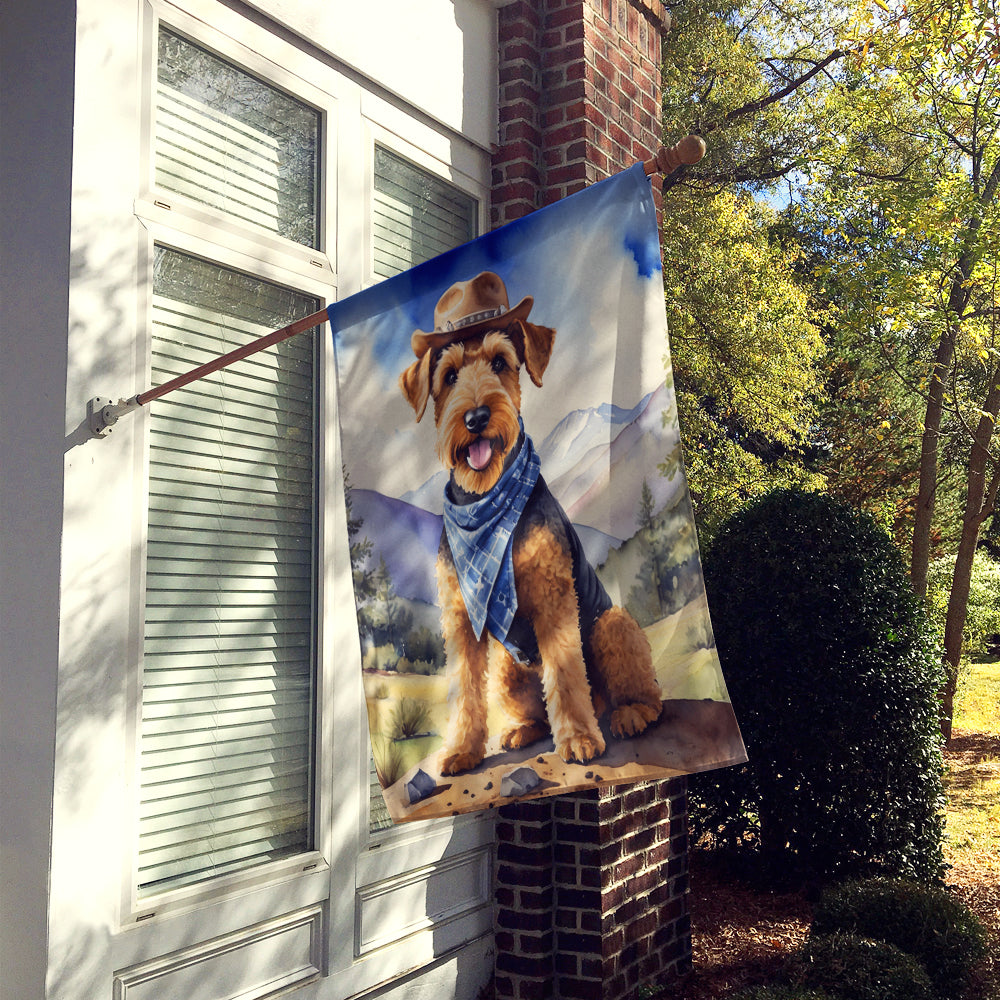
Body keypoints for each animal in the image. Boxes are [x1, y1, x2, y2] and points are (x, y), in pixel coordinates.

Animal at [398, 272, 664, 772]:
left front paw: (578, 738)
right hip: (508, 665)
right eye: (449, 376)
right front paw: (461, 750)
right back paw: (522, 730)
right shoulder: (460, 619)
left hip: (611, 623)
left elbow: (565, 670)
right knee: (537, 709)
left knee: (639, 693)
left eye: (501, 362)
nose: (476, 417)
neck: (484, 506)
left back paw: (629, 715)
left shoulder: (553, 597)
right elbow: (465, 689)